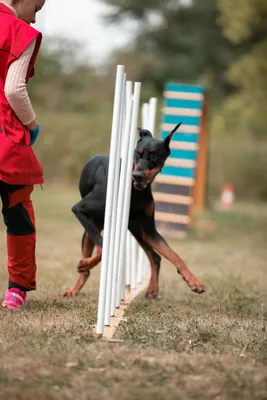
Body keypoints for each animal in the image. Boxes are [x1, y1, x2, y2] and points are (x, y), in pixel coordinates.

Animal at [62, 123, 207, 298]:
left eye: (154, 156)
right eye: (137, 153)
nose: (136, 175)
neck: (135, 190)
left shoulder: (150, 230)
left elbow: (174, 255)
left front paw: (194, 282)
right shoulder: (79, 209)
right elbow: (103, 248)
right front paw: (85, 264)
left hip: (137, 230)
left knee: (155, 256)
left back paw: (152, 289)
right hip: (93, 228)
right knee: (89, 261)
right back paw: (74, 286)